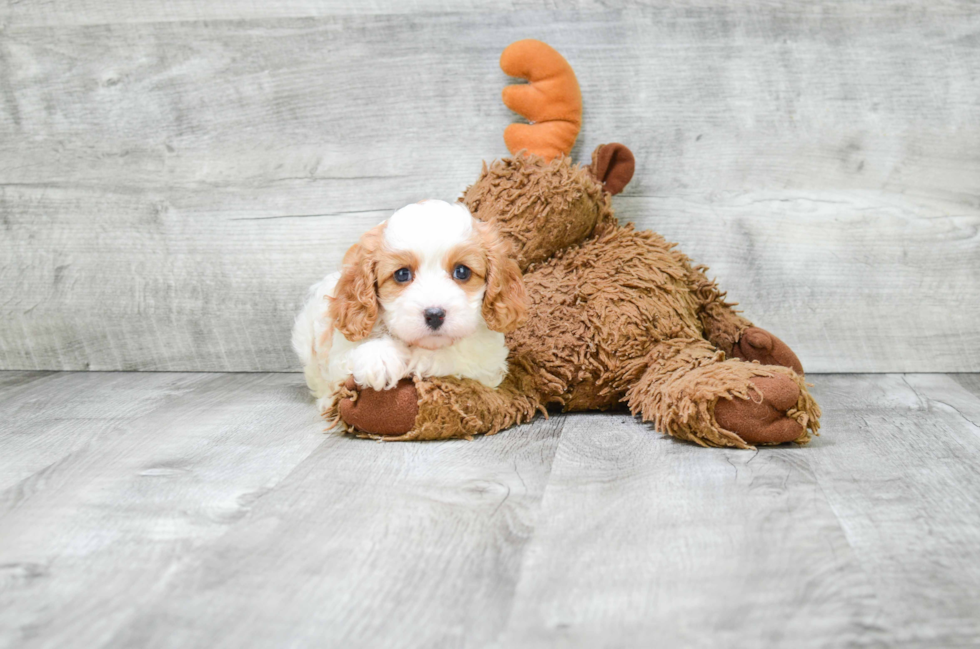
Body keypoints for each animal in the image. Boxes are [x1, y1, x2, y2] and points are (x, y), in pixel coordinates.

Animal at [292, 199, 528, 410]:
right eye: (402, 274)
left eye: (462, 272)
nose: (434, 315)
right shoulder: (340, 347)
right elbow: (351, 355)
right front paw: (380, 357)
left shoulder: (487, 361)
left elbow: (455, 356)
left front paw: (416, 360)